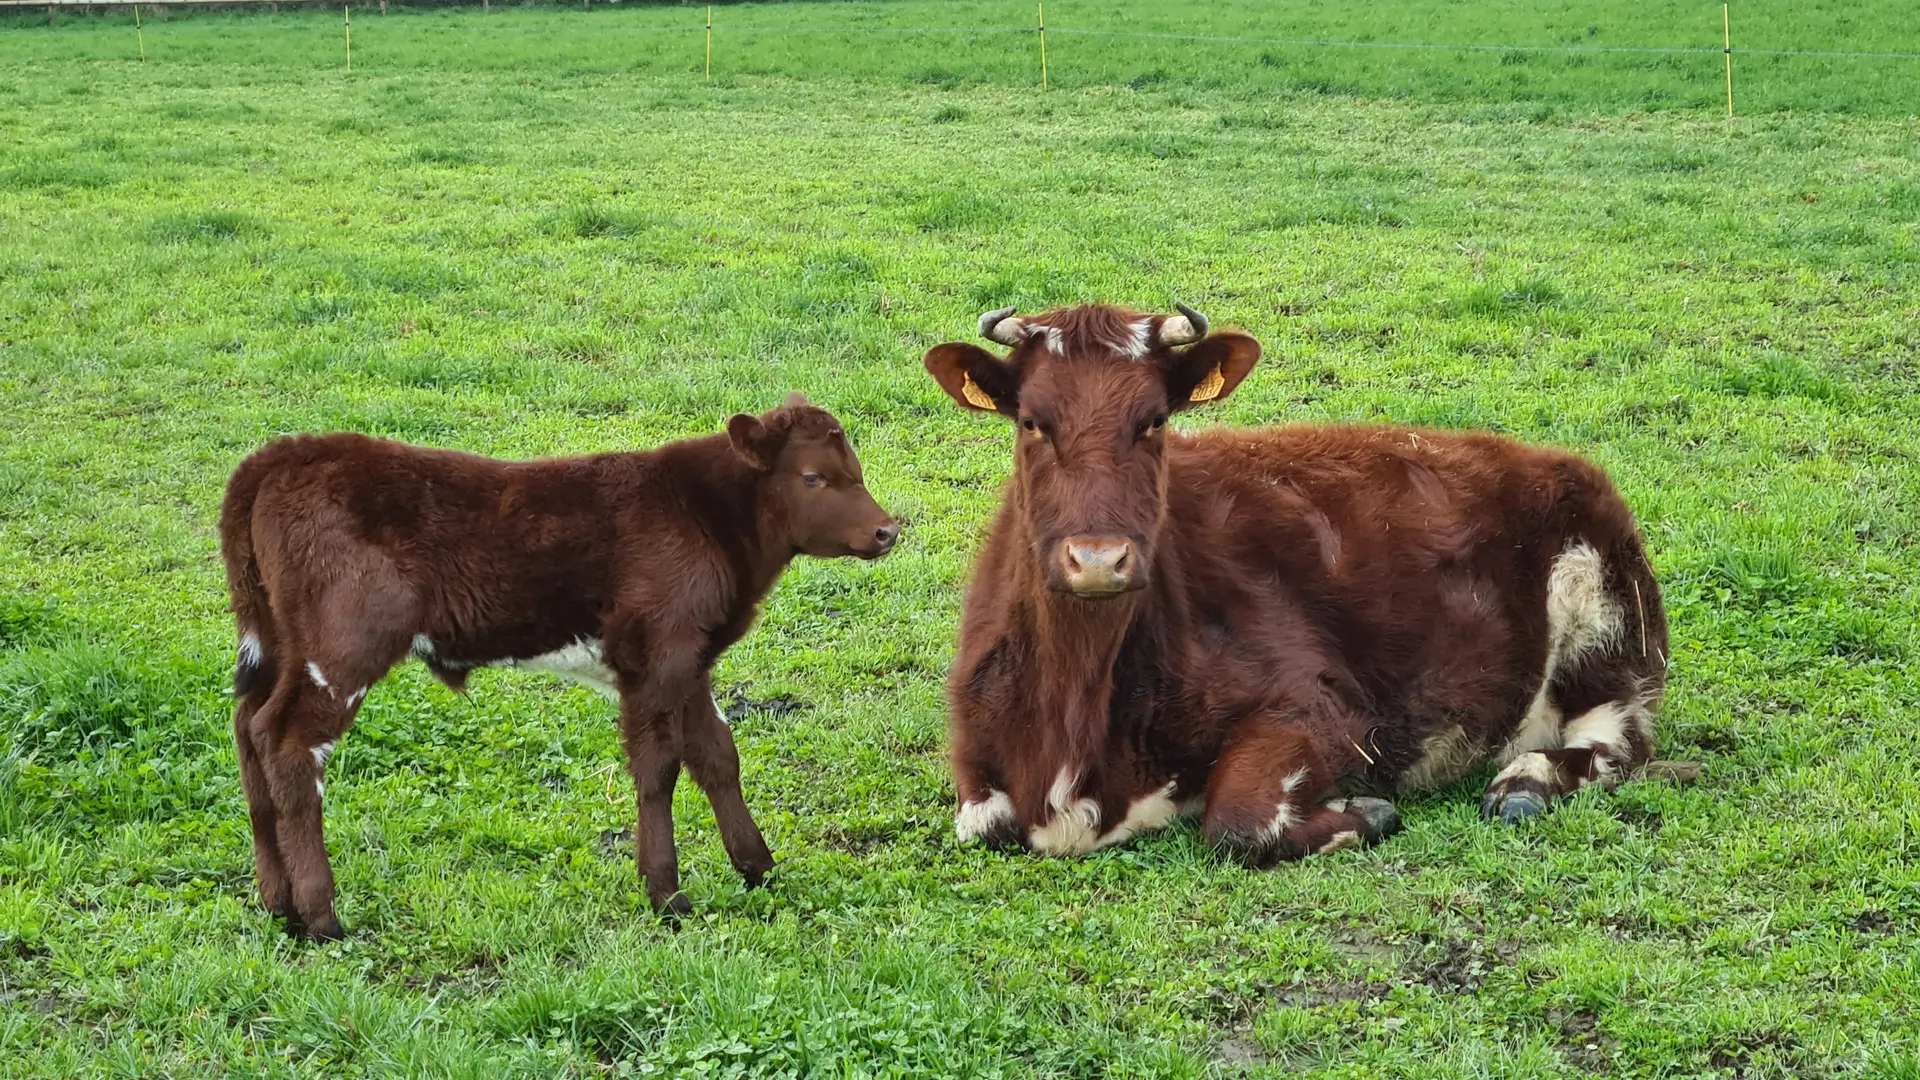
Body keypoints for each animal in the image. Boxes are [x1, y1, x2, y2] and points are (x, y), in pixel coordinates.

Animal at [219, 393, 897, 939]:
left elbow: (716, 755)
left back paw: (277, 902)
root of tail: (279, 456)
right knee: (290, 746)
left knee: (251, 728)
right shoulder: (657, 655)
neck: (703, 513)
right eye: (812, 478)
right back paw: (321, 916)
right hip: (343, 647)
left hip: (279, 642)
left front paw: (758, 867)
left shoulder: (691, 658)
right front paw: (666, 895)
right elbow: (658, 768)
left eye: (855, 470)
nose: (888, 531)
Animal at [923, 304, 1668, 864]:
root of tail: (1551, 459)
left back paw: (1525, 784)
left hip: (1608, 623)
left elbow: (1238, 821)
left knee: (1620, 743)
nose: (1100, 559)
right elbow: (984, 824)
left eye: (1154, 420)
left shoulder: (1327, 707)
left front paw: (1366, 811)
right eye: (1031, 421)